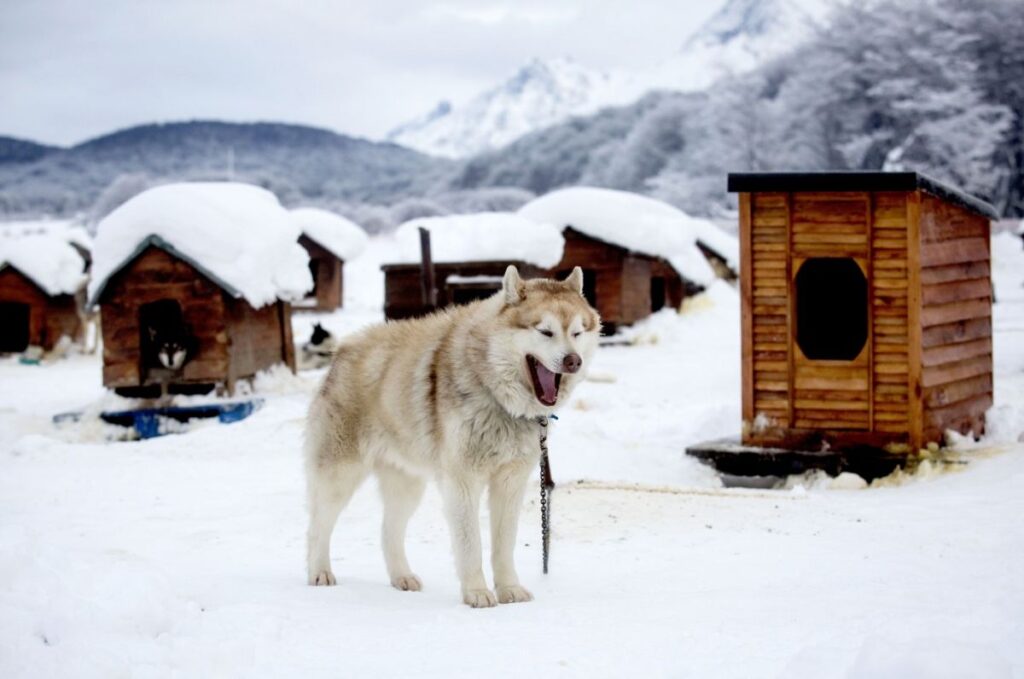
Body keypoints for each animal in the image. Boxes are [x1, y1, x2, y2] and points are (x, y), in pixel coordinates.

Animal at [303, 266, 598, 610]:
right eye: (545, 331)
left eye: (577, 333)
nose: (573, 361)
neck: (493, 391)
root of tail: (342, 351)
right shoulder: (463, 481)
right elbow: (471, 544)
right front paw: (477, 593)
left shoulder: (510, 481)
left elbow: (504, 544)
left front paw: (509, 589)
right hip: (339, 478)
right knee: (318, 527)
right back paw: (320, 573)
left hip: (407, 485)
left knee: (389, 531)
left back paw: (402, 577)